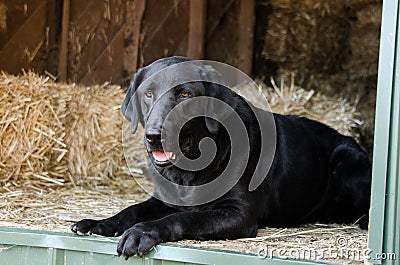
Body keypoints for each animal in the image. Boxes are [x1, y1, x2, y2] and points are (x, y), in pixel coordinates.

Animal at [69, 56, 372, 258]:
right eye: (149, 94)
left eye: (185, 93)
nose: (154, 136)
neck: (189, 169)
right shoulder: (163, 199)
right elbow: (131, 210)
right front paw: (99, 223)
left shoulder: (239, 214)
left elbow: (185, 218)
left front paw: (142, 232)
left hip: (345, 160)